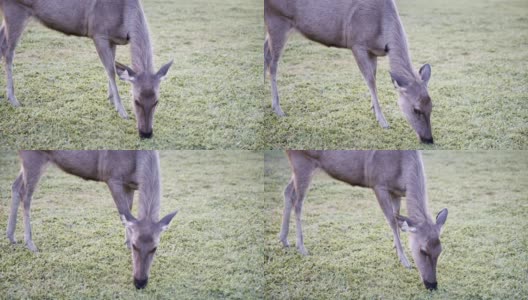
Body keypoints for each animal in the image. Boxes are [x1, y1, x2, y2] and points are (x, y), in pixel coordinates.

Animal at [0, 0, 173, 138]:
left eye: (157, 101)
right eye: (135, 100)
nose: (146, 133)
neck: (123, 17)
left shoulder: (112, 39)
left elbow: (112, 69)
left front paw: (111, 99)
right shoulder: (98, 33)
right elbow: (110, 71)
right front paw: (122, 111)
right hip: (14, 9)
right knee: (8, 50)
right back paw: (13, 99)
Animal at [6, 151, 179, 290]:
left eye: (155, 248)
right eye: (136, 246)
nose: (140, 282)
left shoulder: (129, 185)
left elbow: (129, 213)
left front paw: (125, 243)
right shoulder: (112, 177)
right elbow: (124, 214)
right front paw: (127, 245)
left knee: (15, 186)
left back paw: (11, 236)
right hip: (33, 158)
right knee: (26, 194)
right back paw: (30, 243)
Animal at [266, 0, 436, 144]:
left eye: (431, 106)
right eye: (416, 109)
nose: (429, 139)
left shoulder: (372, 51)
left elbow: (374, 79)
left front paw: (373, 109)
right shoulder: (357, 44)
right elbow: (370, 81)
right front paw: (383, 121)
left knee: (266, 52)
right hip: (277, 20)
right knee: (273, 63)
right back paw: (278, 108)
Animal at [282, 151, 448, 290]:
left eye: (440, 251)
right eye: (423, 250)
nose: (432, 285)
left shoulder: (396, 192)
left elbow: (398, 218)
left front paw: (395, 247)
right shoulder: (379, 184)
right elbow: (393, 221)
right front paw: (405, 260)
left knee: (288, 191)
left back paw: (284, 240)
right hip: (301, 161)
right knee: (298, 202)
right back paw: (301, 247)